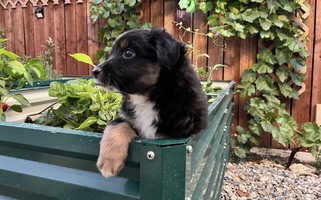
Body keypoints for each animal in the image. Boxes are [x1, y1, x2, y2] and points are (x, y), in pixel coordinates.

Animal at [92, 28, 208, 178]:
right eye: (111, 53)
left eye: (128, 53)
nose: (94, 71)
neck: (146, 99)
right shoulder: (127, 118)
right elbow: (115, 125)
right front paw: (108, 161)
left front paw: (108, 163)